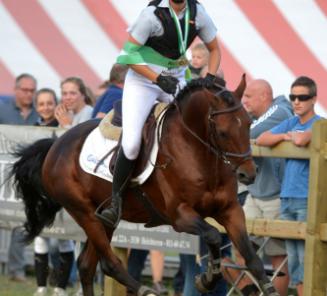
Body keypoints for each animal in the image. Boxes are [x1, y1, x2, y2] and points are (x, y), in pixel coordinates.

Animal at [10, 77, 280, 296]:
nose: (248, 174)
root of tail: (55, 145)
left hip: (104, 218)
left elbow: (252, 259)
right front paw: (207, 279)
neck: (197, 152)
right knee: (109, 264)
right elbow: (213, 235)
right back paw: (146, 290)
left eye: (249, 124)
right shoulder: (180, 216)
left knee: (87, 266)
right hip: (84, 213)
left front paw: (267, 288)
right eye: (223, 132)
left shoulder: (231, 210)